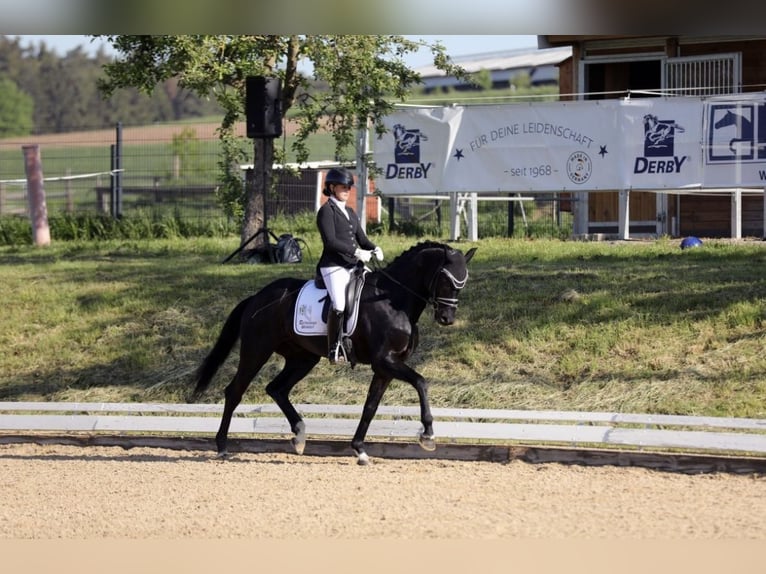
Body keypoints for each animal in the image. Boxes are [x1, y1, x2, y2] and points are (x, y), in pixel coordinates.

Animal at [191, 241, 476, 466]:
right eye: (445, 279)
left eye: (462, 282)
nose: (446, 318)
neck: (393, 299)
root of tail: (257, 297)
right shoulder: (385, 361)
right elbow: (421, 382)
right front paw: (427, 435)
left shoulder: (384, 368)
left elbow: (370, 406)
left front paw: (360, 450)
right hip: (256, 351)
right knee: (235, 391)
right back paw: (222, 446)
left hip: (303, 358)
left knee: (276, 389)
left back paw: (299, 435)